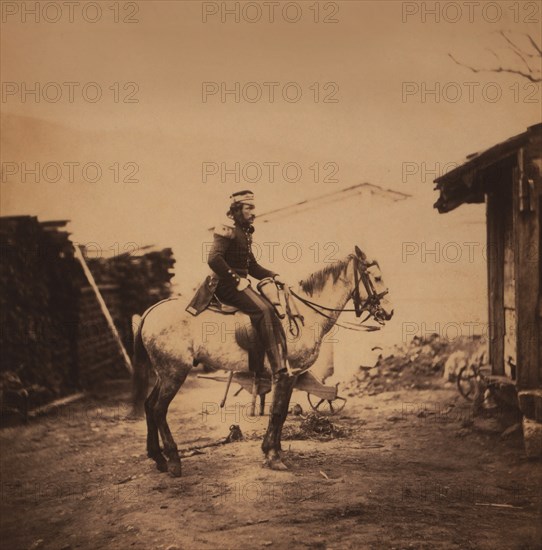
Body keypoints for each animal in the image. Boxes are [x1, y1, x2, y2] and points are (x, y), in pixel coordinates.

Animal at [132, 247, 396, 478]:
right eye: (377, 277)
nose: (390, 312)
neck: (305, 314)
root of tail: (149, 312)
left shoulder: (290, 376)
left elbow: (281, 412)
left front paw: (274, 451)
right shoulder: (286, 374)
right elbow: (277, 412)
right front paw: (273, 456)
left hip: (164, 374)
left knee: (149, 405)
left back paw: (158, 458)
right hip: (174, 372)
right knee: (159, 409)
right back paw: (174, 461)